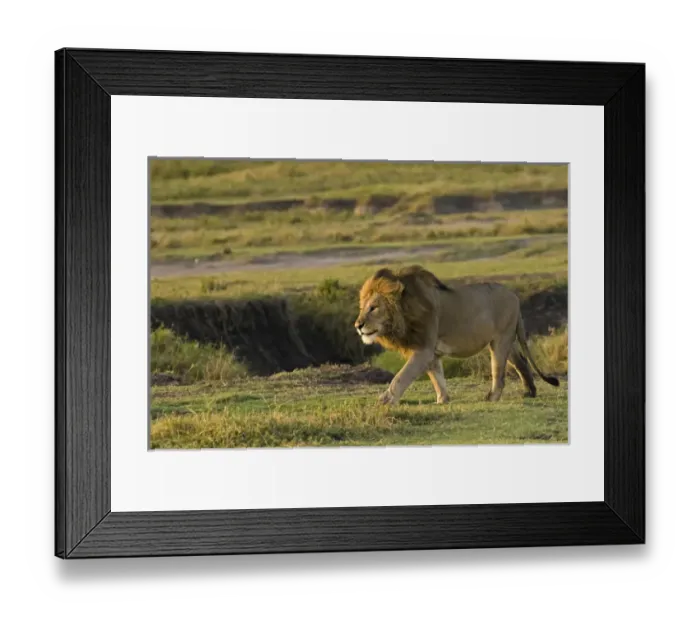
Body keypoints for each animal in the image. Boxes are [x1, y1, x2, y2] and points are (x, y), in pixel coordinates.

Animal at [354, 265, 560, 405]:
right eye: (362, 308)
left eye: (374, 308)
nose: (358, 325)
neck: (404, 314)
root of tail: (514, 295)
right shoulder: (430, 352)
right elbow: (437, 377)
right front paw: (442, 400)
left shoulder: (423, 349)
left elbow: (402, 376)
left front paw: (385, 401)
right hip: (508, 339)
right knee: (522, 362)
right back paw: (529, 392)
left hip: (500, 340)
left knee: (499, 374)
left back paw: (492, 397)